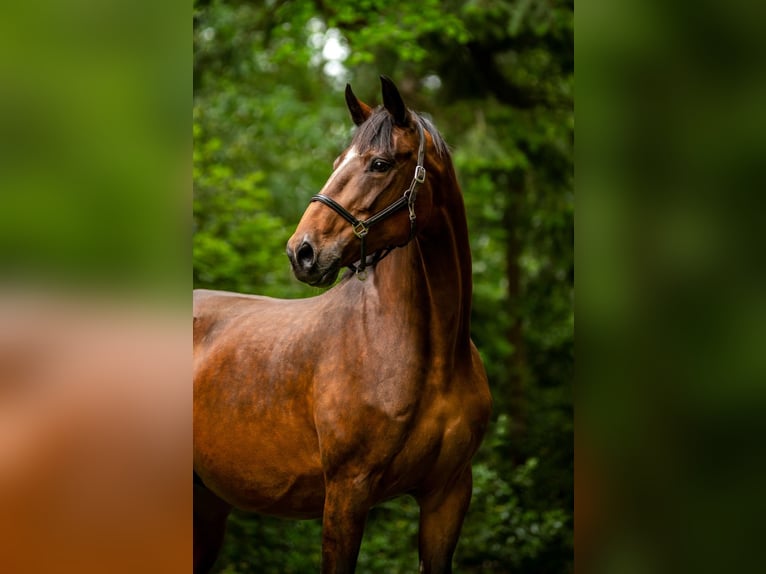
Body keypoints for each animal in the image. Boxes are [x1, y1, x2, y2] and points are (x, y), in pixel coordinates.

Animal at [192, 77, 492, 574]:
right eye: (337, 163)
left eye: (380, 163)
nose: (302, 251)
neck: (431, 356)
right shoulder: (347, 492)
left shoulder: (447, 497)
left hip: (207, 503)